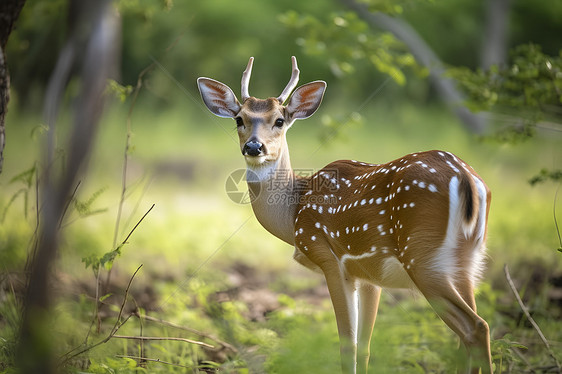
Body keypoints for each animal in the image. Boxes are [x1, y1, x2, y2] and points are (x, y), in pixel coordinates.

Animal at [198, 56, 490, 374]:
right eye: (239, 119)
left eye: (279, 120)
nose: (253, 146)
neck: (293, 212)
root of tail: (467, 179)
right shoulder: (369, 275)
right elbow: (365, 346)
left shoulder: (328, 256)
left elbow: (347, 344)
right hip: (468, 260)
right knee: (468, 333)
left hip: (423, 255)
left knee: (476, 327)